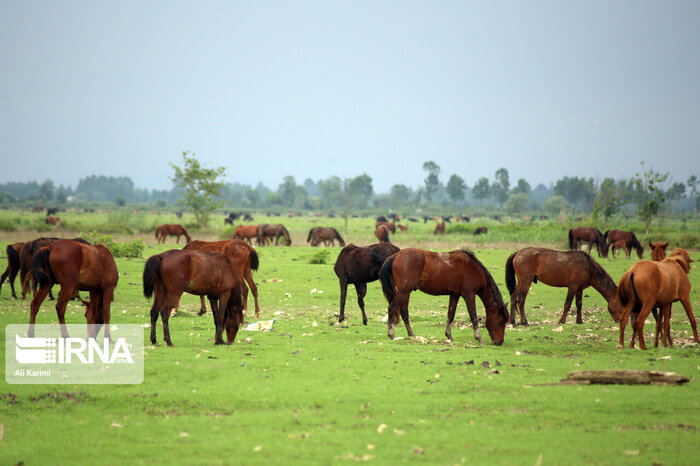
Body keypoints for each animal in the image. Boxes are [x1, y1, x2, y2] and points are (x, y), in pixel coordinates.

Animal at [378, 249, 508, 344]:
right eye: (501, 322)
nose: (500, 342)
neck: (473, 268)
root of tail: (395, 256)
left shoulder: (455, 295)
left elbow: (451, 314)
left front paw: (449, 336)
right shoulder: (469, 294)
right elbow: (473, 316)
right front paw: (479, 338)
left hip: (406, 292)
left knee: (404, 312)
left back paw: (411, 335)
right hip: (404, 291)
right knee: (392, 308)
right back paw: (391, 334)